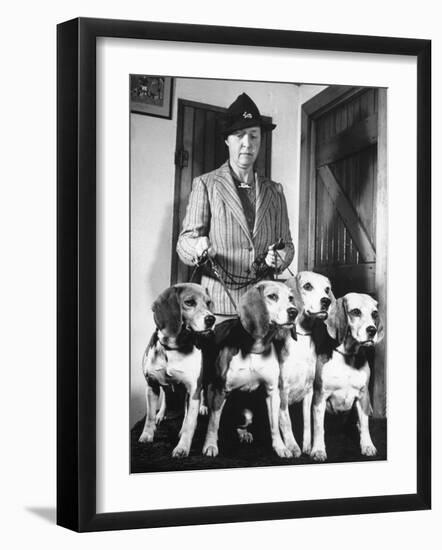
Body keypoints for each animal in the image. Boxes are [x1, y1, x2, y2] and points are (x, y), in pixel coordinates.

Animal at [137, 282, 215, 460]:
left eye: (208, 303)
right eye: (189, 302)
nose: (211, 319)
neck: (173, 348)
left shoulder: (193, 390)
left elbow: (190, 424)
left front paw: (182, 447)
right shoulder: (151, 385)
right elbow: (149, 416)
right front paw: (147, 435)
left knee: (197, 401)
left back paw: (202, 408)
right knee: (167, 398)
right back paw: (162, 414)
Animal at [202, 282, 298, 460]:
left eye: (290, 298)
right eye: (272, 296)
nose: (294, 312)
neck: (255, 349)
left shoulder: (272, 392)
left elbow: (274, 426)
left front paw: (280, 447)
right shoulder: (221, 390)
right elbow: (213, 423)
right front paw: (210, 445)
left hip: (247, 415)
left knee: (238, 423)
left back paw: (243, 433)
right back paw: (203, 407)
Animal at [276, 272, 334, 458]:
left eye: (327, 289)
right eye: (308, 286)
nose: (326, 301)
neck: (301, 337)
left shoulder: (309, 391)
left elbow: (308, 422)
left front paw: (308, 446)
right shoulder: (282, 391)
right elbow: (286, 422)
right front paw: (292, 446)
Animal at [310, 296, 384, 464]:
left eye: (374, 313)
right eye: (355, 312)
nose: (372, 330)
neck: (347, 356)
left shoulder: (363, 396)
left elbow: (365, 425)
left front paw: (367, 445)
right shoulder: (319, 396)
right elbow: (318, 428)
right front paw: (318, 450)